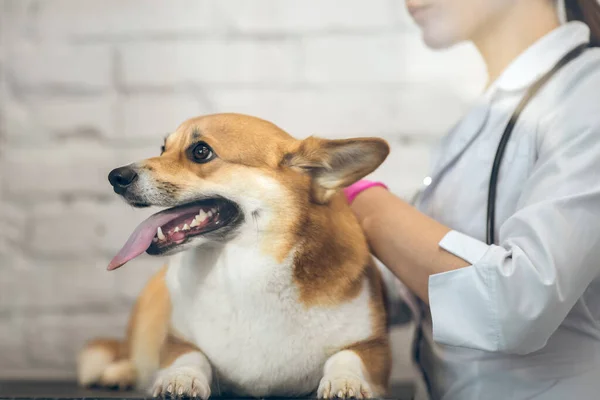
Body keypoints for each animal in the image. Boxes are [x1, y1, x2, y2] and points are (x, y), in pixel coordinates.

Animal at [76, 113, 394, 400]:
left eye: (200, 151)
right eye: (163, 148)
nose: (115, 176)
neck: (244, 267)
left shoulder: (373, 347)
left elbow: (346, 359)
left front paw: (346, 382)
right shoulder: (176, 342)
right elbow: (191, 357)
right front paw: (181, 379)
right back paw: (119, 373)